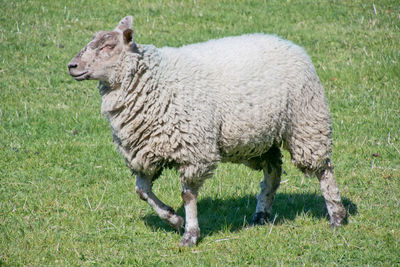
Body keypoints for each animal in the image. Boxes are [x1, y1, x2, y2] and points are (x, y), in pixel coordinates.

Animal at [67, 16, 346, 247]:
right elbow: (142, 192)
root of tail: (287, 42)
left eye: (108, 46)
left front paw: (190, 234)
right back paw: (261, 214)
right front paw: (173, 219)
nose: (72, 65)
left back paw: (337, 216)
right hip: (259, 137)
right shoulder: (147, 153)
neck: (155, 80)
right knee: (273, 172)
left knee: (324, 170)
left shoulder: (194, 151)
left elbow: (188, 195)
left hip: (306, 122)